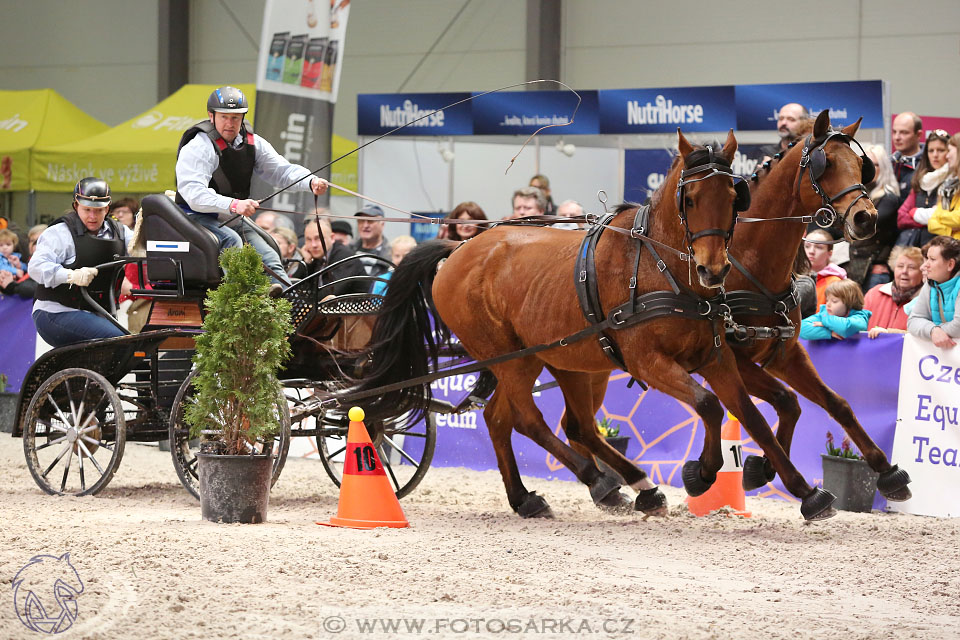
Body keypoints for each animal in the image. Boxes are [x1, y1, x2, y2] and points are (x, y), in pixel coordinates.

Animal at [352, 130, 832, 520]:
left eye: (735, 198)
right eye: (690, 199)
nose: (712, 269)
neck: (661, 268)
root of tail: (458, 248)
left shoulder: (715, 358)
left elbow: (749, 416)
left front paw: (804, 491)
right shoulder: (646, 361)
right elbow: (711, 406)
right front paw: (702, 471)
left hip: (558, 358)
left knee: (523, 420)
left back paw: (547, 495)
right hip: (510, 358)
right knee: (527, 419)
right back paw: (597, 480)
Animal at [724, 109, 912, 500]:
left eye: (861, 166)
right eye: (827, 165)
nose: (865, 218)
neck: (744, 263)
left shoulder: (784, 354)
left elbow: (833, 403)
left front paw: (886, 470)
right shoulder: (732, 359)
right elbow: (785, 402)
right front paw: (776, 472)